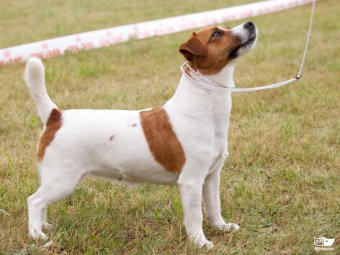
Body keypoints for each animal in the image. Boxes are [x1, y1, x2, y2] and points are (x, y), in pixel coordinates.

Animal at [25, 20, 256, 248]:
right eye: (216, 34)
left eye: (226, 28)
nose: (250, 24)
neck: (207, 109)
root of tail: (56, 116)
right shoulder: (191, 181)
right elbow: (195, 217)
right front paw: (200, 241)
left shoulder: (211, 176)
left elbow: (214, 206)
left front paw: (222, 227)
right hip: (63, 180)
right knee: (34, 201)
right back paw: (37, 235)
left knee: (41, 202)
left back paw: (44, 226)